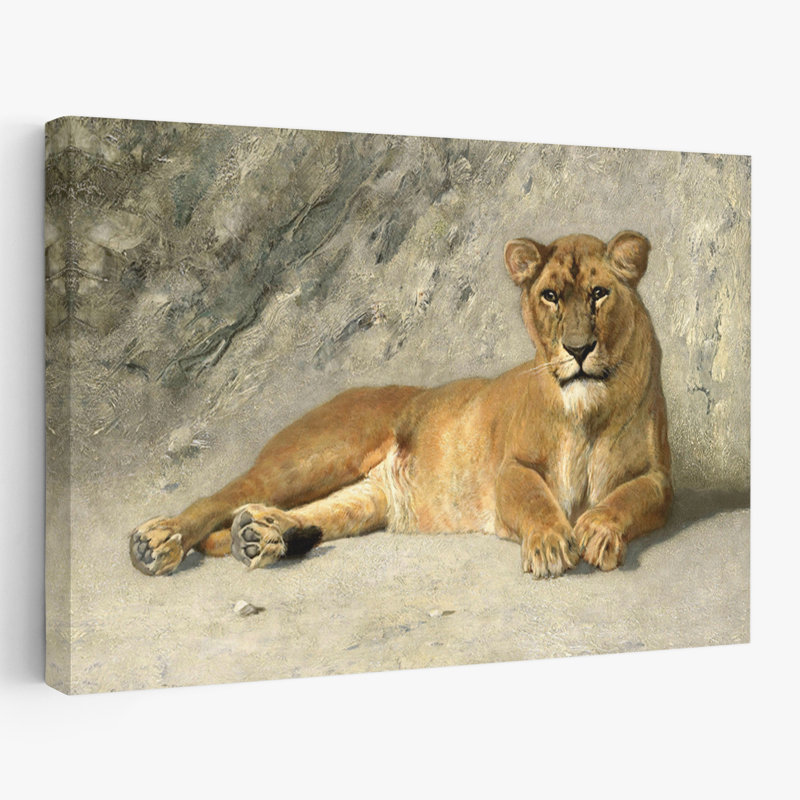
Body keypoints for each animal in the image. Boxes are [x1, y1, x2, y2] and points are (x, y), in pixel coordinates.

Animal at [130, 230, 672, 579]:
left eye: (599, 293)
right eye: (551, 296)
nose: (578, 349)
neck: (587, 411)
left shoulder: (659, 478)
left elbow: (628, 497)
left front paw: (597, 530)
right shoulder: (510, 468)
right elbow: (535, 497)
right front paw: (549, 543)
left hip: (368, 499)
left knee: (308, 514)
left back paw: (259, 536)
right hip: (316, 456)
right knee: (223, 498)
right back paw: (157, 542)